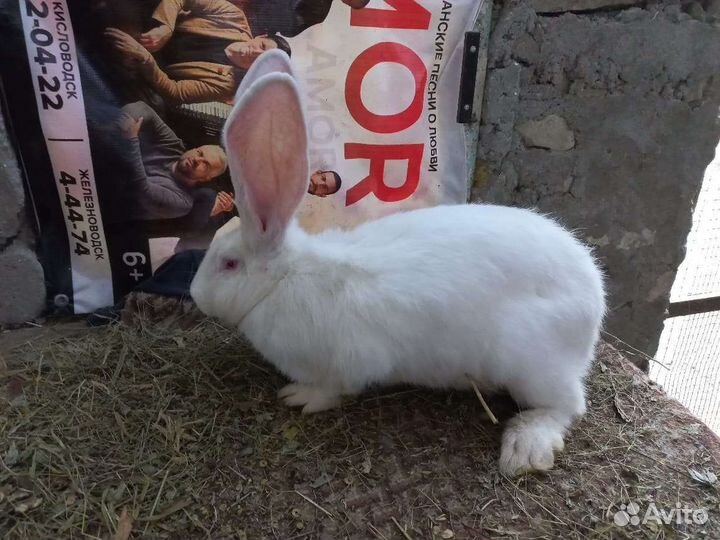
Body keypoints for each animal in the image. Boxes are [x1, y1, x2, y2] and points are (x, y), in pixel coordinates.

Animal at [190, 49, 607, 476]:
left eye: (229, 264)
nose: (194, 294)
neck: (283, 280)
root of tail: (594, 299)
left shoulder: (349, 361)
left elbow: (335, 388)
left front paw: (299, 396)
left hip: (530, 363)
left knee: (567, 405)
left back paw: (524, 448)